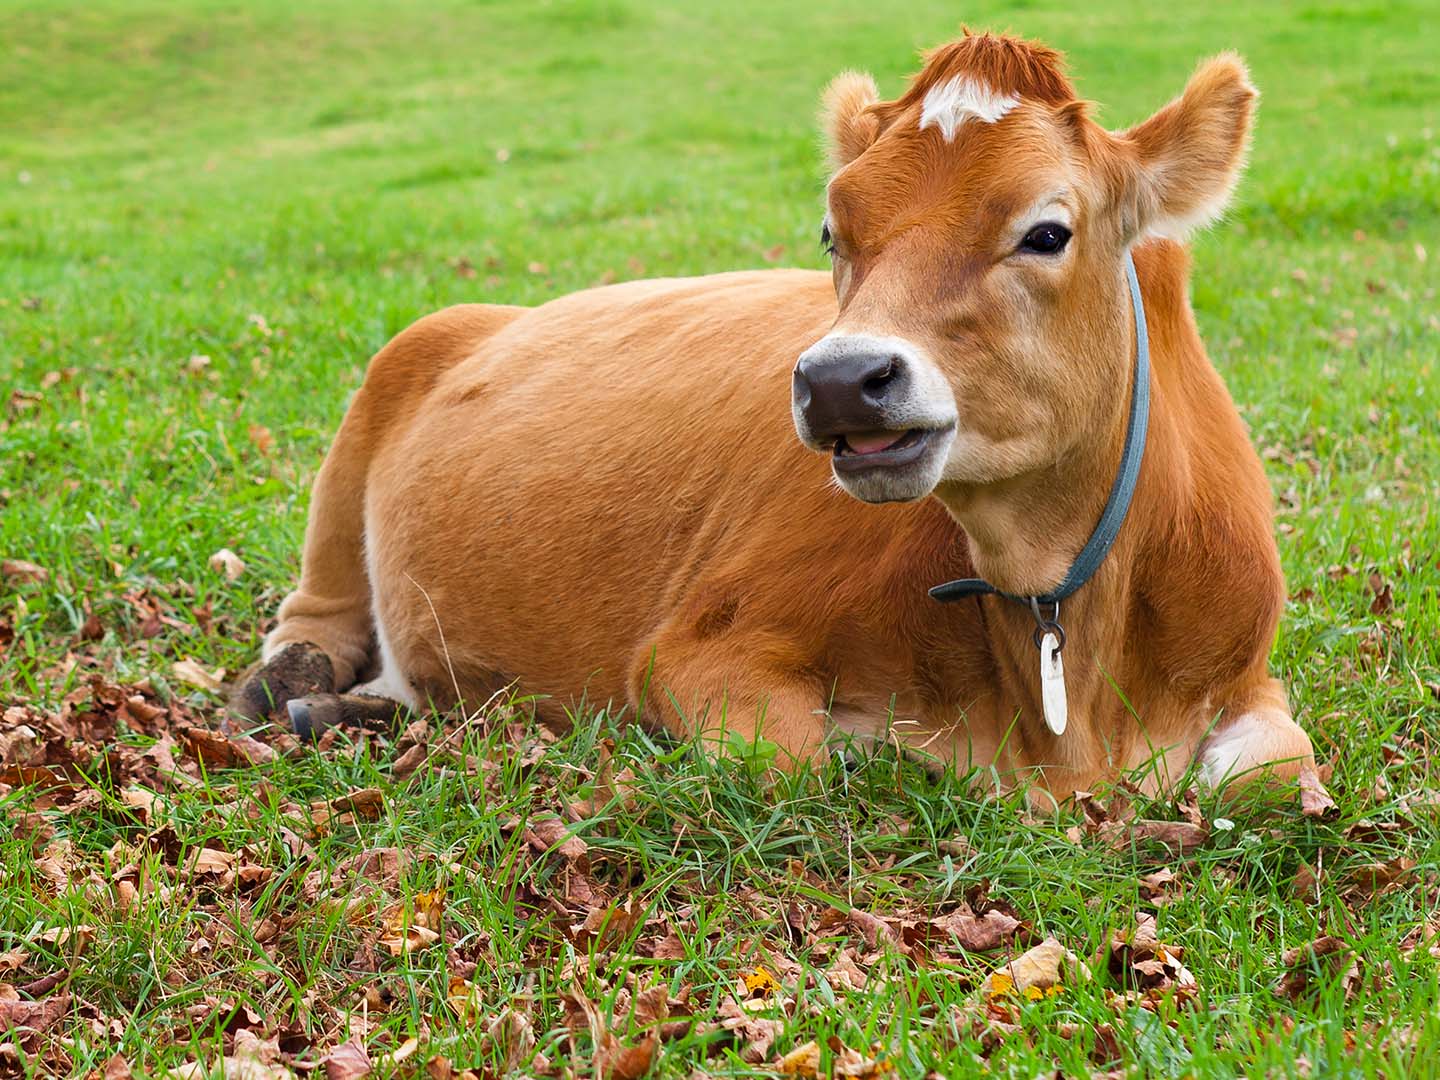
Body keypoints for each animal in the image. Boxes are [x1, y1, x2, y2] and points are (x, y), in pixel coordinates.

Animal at [234, 31, 1317, 799]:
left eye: (1046, 232)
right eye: (834, 232)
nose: (841, 380)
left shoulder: (1249, 674)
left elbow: (1275, 777)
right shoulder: (699, 646)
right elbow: (805, 761)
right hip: (386, 383)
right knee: (314, 612)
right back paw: (305, 689)